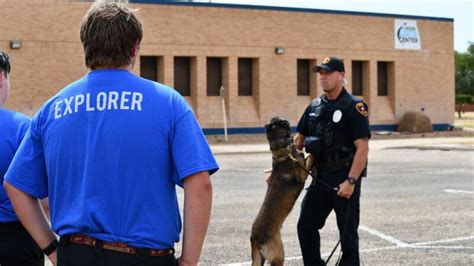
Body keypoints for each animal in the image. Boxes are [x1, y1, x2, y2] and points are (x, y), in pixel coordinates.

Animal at [250, 117, 310, 264]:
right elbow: (310, 159)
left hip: (259, 259)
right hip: (278, 254)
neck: (283, 152)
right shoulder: (303, 174)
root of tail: (255, 238)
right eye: (282, 122)